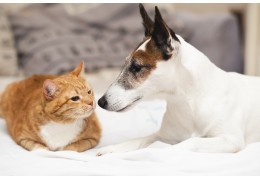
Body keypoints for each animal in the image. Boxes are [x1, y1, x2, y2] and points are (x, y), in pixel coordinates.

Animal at [96, 3, 260, 156]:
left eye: (136, 67)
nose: (100, 102)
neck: (188, 102)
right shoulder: (163, 135)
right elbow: (140, 139)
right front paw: (112, 148)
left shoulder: (230, 140)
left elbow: (189, 142)